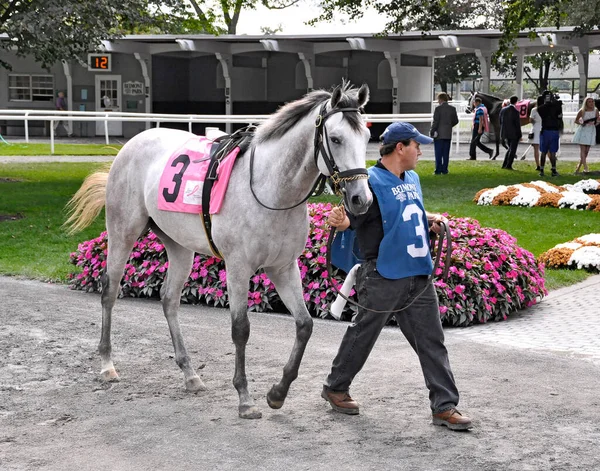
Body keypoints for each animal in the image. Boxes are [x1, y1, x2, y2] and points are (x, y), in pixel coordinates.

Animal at [68, 82, 372, 420]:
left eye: (367, 137)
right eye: (336, 138)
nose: (361, 199)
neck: (271, 189)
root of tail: (131, 145)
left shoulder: (283, 266)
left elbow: (305, 325)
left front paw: (277, 393)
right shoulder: (238, 266)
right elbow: (241, 328)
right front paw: (245, 398)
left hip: (179, 245)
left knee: (169, 299)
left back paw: (190, 374)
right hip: (123, 231)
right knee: (110, 290)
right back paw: (107, 365)